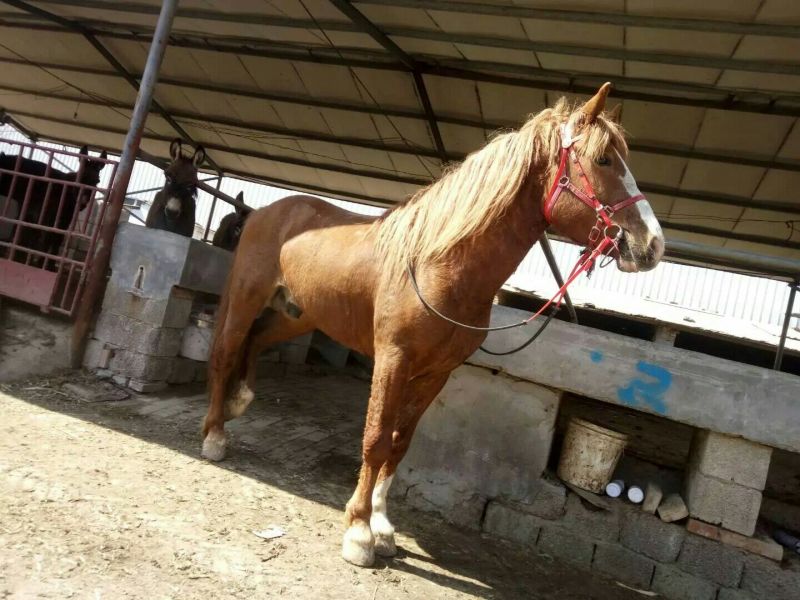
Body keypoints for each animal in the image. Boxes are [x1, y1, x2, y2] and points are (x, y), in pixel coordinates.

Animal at [200, 84, 664, 567]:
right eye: (604, 160)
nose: (653, 245)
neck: (438, 264)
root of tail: (263, 212)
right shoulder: (393, 359)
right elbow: (377, 438)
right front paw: (359, 532)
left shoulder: (437, 373)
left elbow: (400, 443)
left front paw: (383, 527)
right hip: (247, 298)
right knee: (227, 351)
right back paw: (214, 435)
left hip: (298, 314)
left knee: (256, 341)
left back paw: (239, 402)